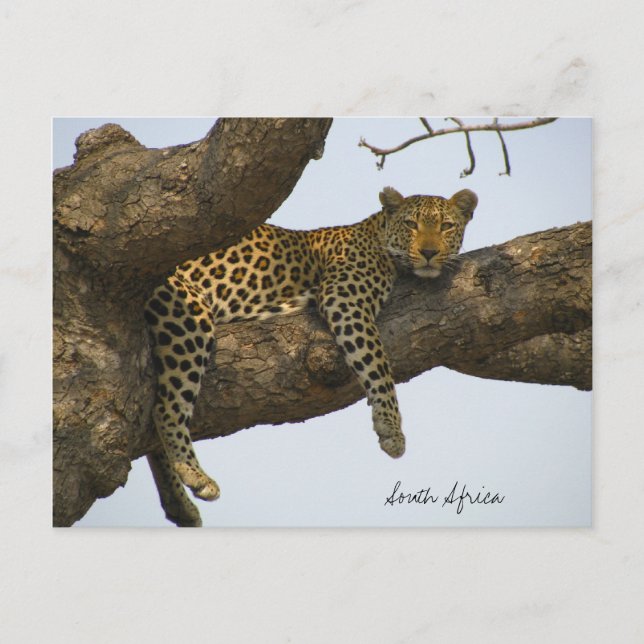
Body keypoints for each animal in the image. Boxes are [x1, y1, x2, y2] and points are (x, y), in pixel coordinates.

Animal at [144, 186, 477, 525]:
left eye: (446, 227)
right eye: (411, 224)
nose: (429, 252)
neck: (378, 235)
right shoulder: (344, 298)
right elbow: (377, 362)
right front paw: (391, 429)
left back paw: (180, 505)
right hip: (188, 311)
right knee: (166, 408)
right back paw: (194, 474)